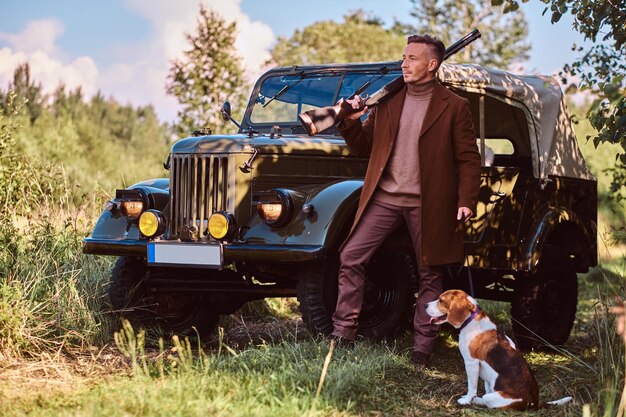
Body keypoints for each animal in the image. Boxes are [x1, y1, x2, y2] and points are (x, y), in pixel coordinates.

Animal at [424, 288, 572, 408]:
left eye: (441, 300)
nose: (424, 304)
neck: (471, 320)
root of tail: (534, 402)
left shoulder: (471, 363)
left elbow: (471, 386)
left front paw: (467, 400)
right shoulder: (486, 378)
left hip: (492, 397)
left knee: (486, 399)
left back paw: (475, 400)